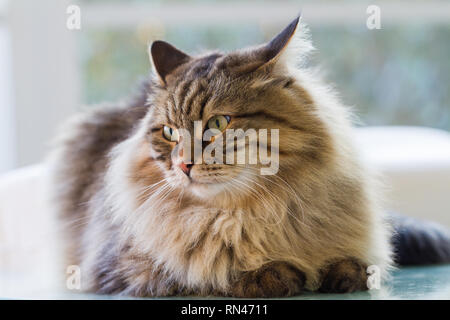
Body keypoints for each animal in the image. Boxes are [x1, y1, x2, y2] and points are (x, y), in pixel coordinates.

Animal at [50, 16, 450, 298]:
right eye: (169, 133)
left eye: (217, 123)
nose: (183, 164)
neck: (253, 213)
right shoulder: (125, 265)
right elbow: (207, 271)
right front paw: (273, 274)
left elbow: (355, 265)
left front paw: (338, 273)